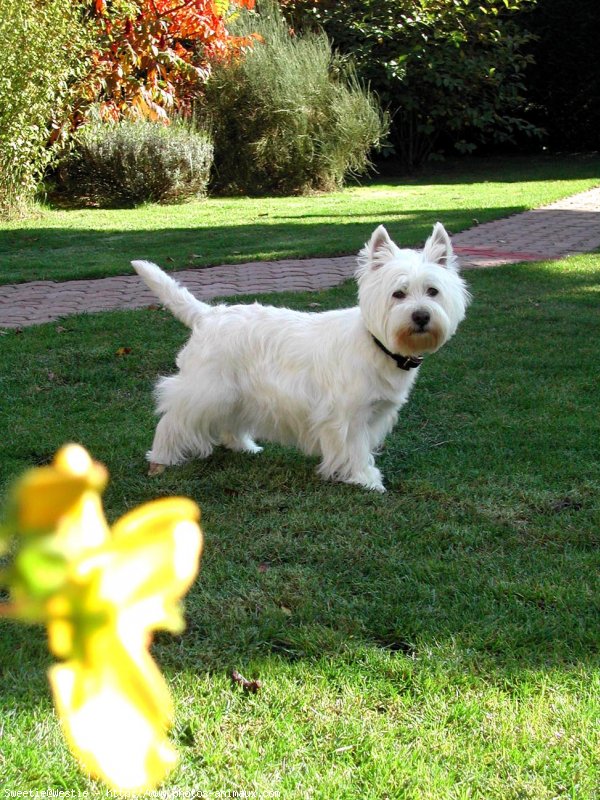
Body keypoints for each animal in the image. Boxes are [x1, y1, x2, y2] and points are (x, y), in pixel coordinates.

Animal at [134, 222, 472, 490]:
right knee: (172, 420)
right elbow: (355, 447)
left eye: (433, 291)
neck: (377, 345)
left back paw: (245, 446)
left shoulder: (375, 412)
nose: (421, 316)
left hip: (236, 393)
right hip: (207, 389)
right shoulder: (348, 415)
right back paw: (160, 459)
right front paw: (365, 478)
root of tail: (207, 315)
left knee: (229, 422)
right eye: (398, 294)